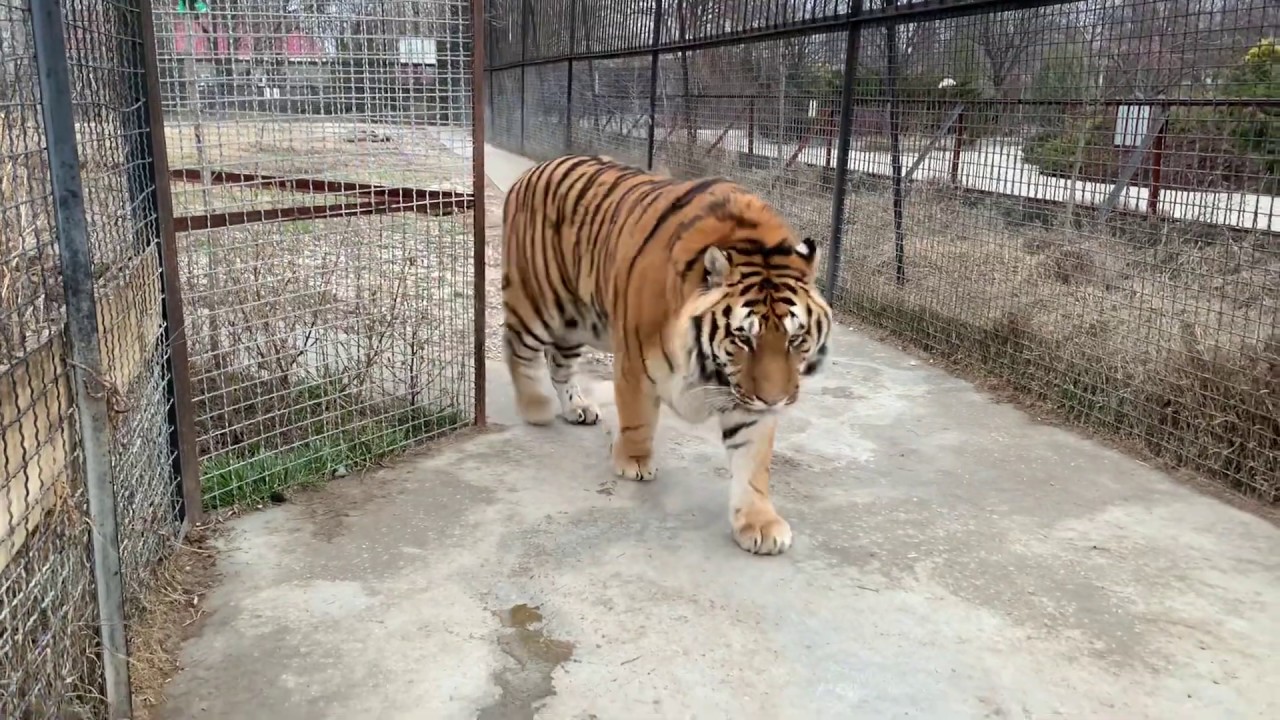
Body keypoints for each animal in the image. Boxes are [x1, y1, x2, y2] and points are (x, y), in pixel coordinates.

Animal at [500, 154, 832, 555]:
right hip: (540, 304)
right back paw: (535, 407)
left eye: (795, 338)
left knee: (559, 363)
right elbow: (638, 418)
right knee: (517, 347)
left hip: (576, 321)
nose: (776, 400)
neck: (710, 367)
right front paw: (634, 462)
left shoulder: (747, 400)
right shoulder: (635, 362)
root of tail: (532, 171)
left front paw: (759, 523)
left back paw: (576, 407)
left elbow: (752, 462)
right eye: (743, 338)